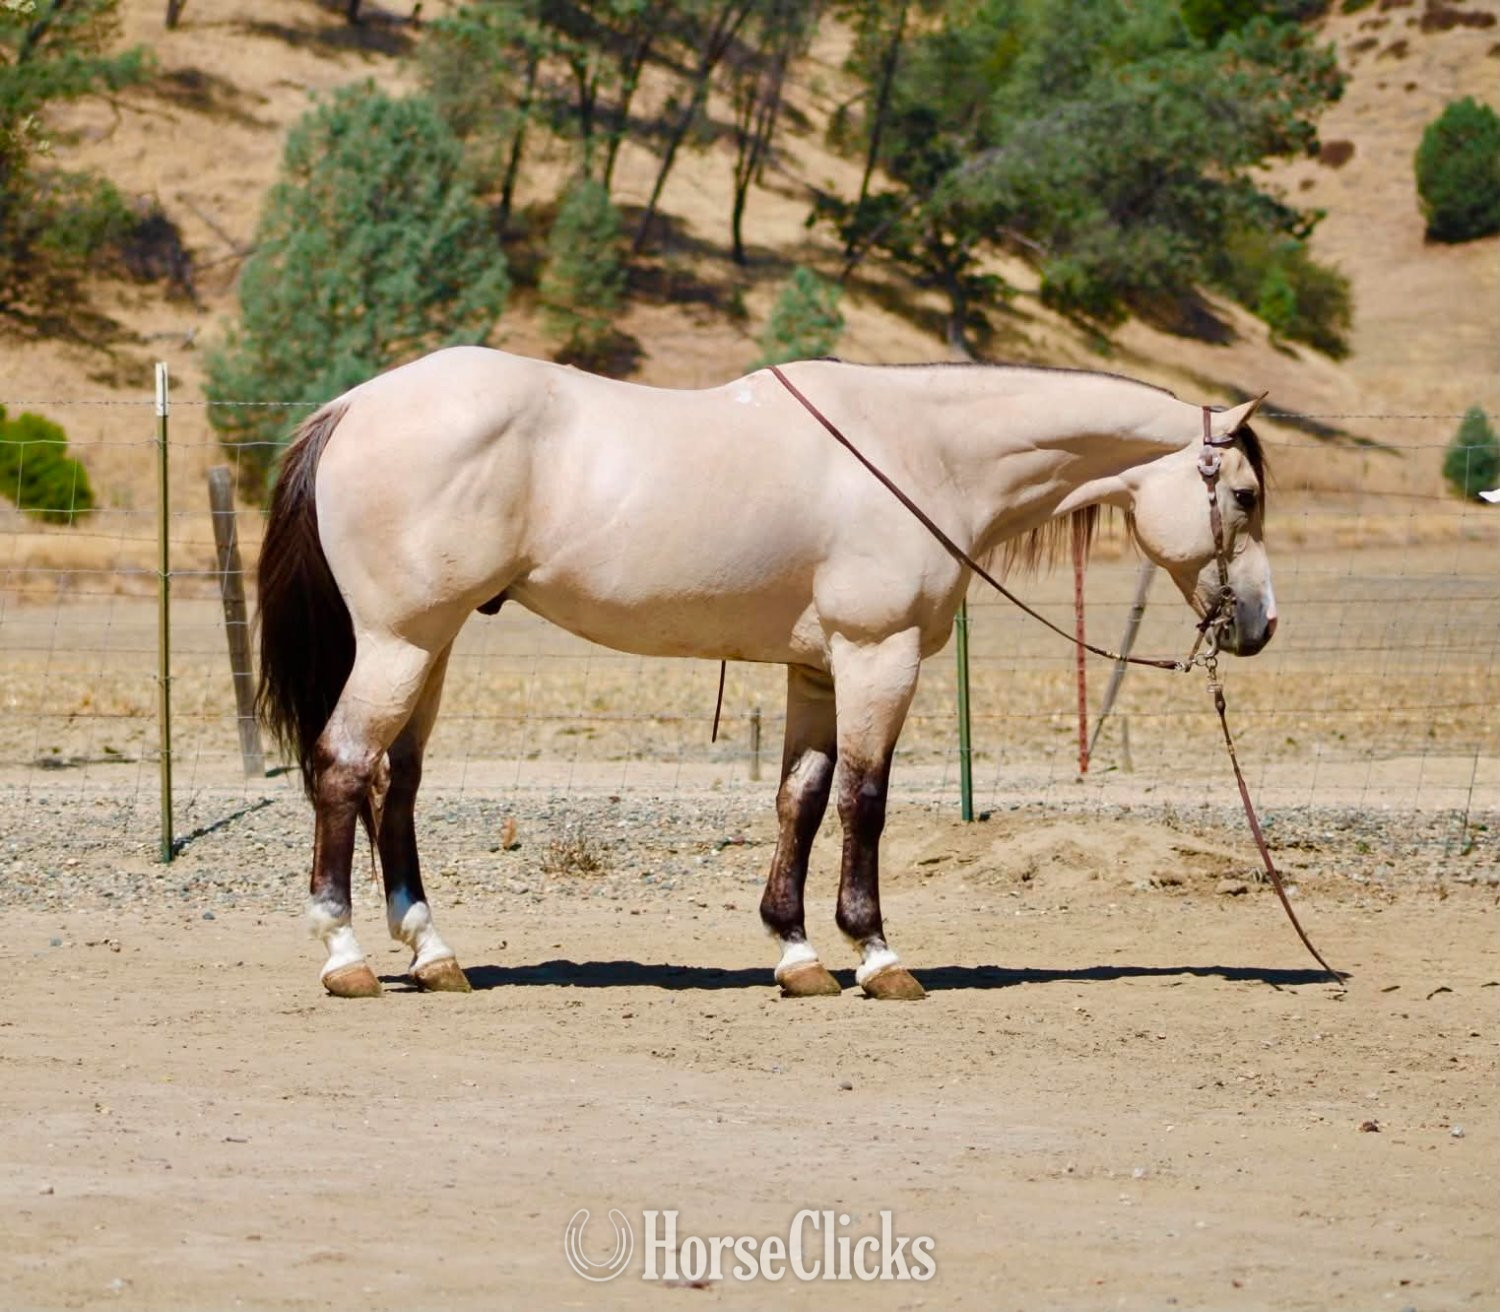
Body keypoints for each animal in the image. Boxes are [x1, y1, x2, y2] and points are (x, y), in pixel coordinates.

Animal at [256, 347, 1275, 1000]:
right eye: (1245, 495)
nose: (1260, 624)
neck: (921, 453)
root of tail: (353, 407)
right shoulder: (876, 656)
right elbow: (865, 799)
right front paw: (876, 954)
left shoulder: (817, 672)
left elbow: (803, 799)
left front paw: (797, 952)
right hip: (400, 640)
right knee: (344, 765)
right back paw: (345, 956)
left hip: (431, 646)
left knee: (398, 783)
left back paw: (433, 954)